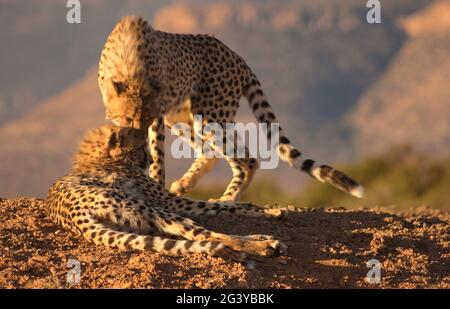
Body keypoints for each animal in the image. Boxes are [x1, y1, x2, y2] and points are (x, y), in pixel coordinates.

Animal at [44, 124, 284, 258]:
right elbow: (221, 205)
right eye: (142, 148)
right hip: (153, 210)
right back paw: (264, 245)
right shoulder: (171, 202)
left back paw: (260, 237)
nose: (151, 161)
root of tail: (74, 217)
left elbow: (224, 204)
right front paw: (271, 211)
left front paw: (269, 209)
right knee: (205, 235)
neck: (104, 158)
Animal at [96, 15, 364, 201]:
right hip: (187, 117)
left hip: (209, 116)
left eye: (146, 118)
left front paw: (155, 184)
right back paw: (189, 185)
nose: (138, 133)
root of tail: (237, 57)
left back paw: (228, 199)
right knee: (220, 153)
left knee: (246, 159)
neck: (129, 65)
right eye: (128, 118)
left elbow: (157, 158)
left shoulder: (158, 117)